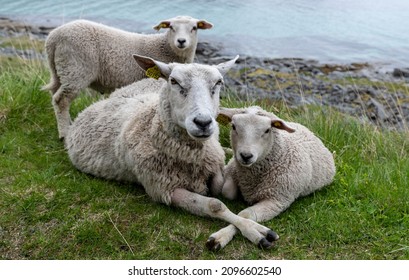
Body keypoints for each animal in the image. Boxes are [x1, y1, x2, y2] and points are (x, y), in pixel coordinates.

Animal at [42, 15, 212, 140]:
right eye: (171, 27)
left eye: (194, 28)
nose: (181, 41)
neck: (165, 48)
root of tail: (53, 38)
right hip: (76, 69)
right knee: (61, 100)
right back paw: (64, 134)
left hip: (61, 70)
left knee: (55, 95)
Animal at [64, 54, 280, 249]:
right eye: (174, 81)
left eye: (218, 82)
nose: (203, 122)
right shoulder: (163, 188)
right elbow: (214, 204)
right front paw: (255, 230)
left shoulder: (212, 164)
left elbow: (220, 188)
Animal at [207, 106, 334, 250]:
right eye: (233, 126)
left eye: (267, 130)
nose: (246, 156)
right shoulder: (232, 170)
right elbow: (227, 192)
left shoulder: (276, 200)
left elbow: (245, 215)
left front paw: (222, 236)